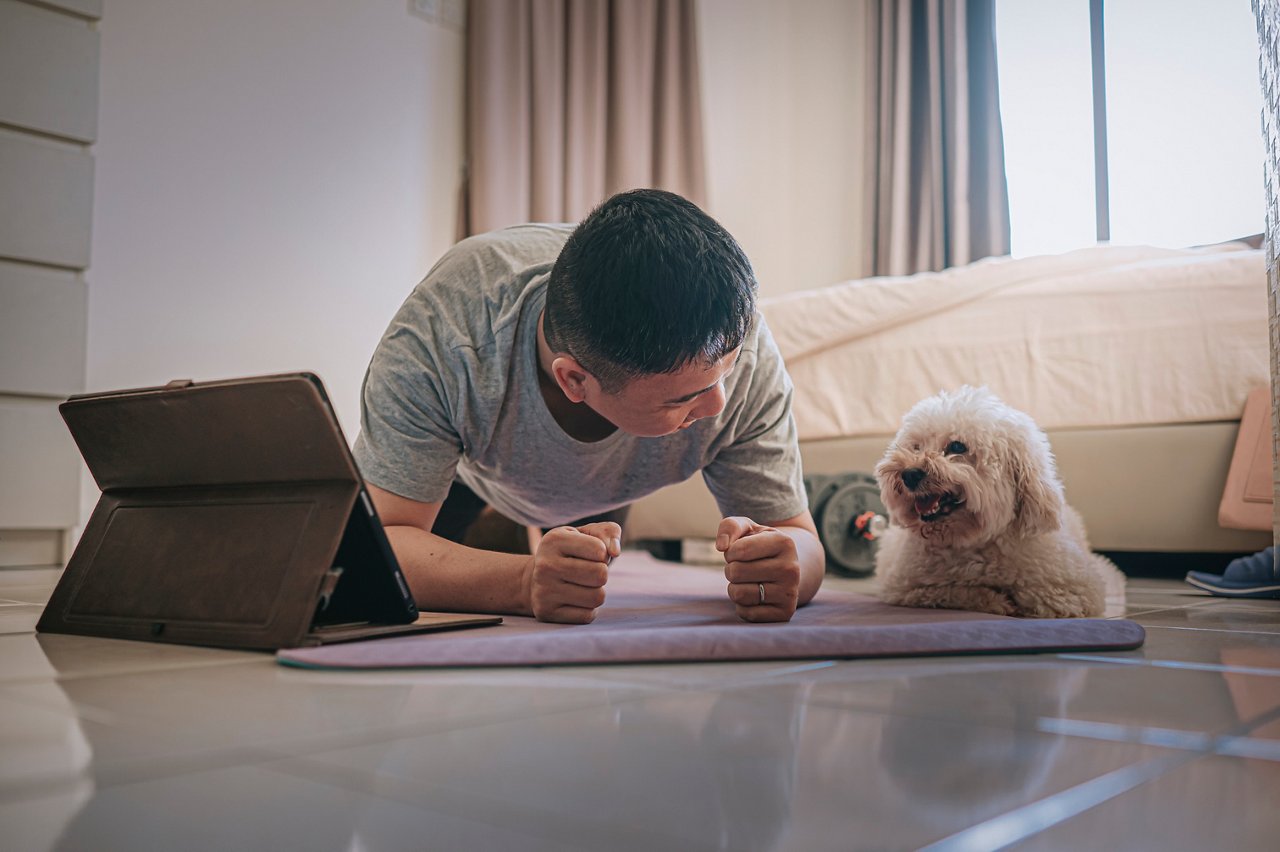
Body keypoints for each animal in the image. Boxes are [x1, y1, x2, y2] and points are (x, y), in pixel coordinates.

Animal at [875, 386, 1126, 616]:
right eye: (916, 447)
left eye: (957, 446)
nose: (909, 474)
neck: (973, 541)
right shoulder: (904, 588)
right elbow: (953, 591)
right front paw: (996, 600)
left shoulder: (1075, 591)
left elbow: (1039, 594)